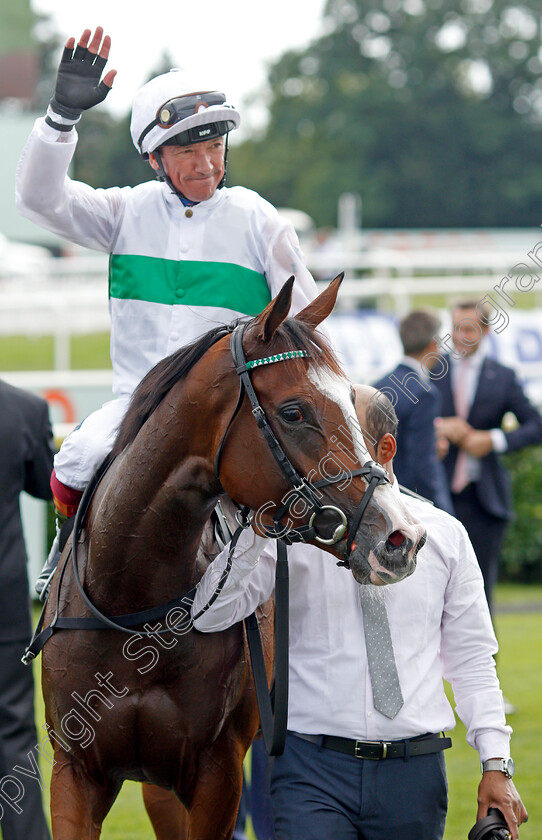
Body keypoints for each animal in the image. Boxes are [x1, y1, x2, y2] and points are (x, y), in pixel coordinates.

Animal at [40, 272, 428, 836]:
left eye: (351, 404)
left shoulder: (216, 771)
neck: (132, 603)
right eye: (294, 411)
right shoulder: (76, 769)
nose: (398, 537)